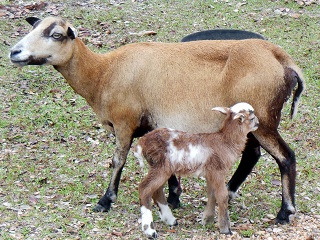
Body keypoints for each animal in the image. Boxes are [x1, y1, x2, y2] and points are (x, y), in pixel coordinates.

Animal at [9, 16, 304, 223]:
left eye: (56, 35)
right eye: (32, 29)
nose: (14, 53)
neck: (102, 74)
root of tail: (283, 60)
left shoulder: (124, 122)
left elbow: (117, 160)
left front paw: (105, 201)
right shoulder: (161, 125)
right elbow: (169, 160)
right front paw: (173, 198)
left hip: (265, 119)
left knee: (286, 157)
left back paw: (285, 213)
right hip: (250, 123)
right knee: (253, 155)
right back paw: (229, 192)